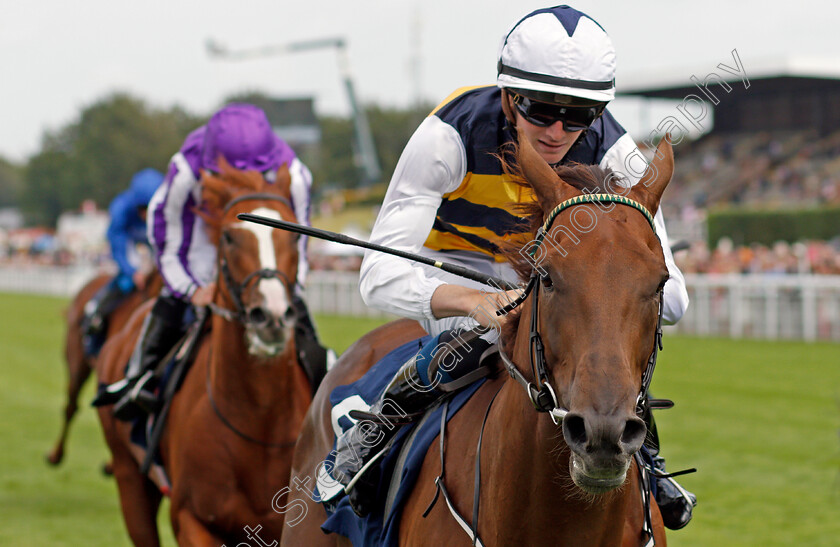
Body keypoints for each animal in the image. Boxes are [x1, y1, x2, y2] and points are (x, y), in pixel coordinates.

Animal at [96, 164, 312, 547]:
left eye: (293, 237)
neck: (260, 421)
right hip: (129, 478)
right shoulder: (192, 519)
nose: (271, 316)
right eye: (228, 237)